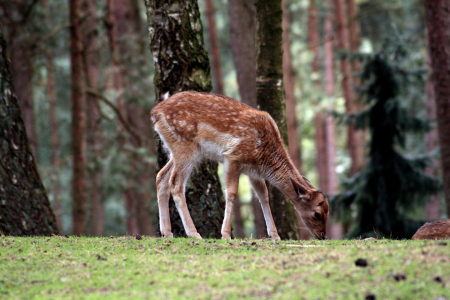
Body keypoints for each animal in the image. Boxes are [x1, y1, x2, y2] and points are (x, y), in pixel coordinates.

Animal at [151, 90, 330, 240]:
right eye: (317, 214)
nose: (323, 236)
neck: (264, 155)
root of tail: (155, 112)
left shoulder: (253, 171)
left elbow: (263, 196)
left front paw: (275, 236)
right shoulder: (233, 157)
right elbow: (232, 193)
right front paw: (225, 235)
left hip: (176, 149)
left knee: (161, 176)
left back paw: (167, 233)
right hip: (185, 146)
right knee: (175, 183)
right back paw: (194, 234)